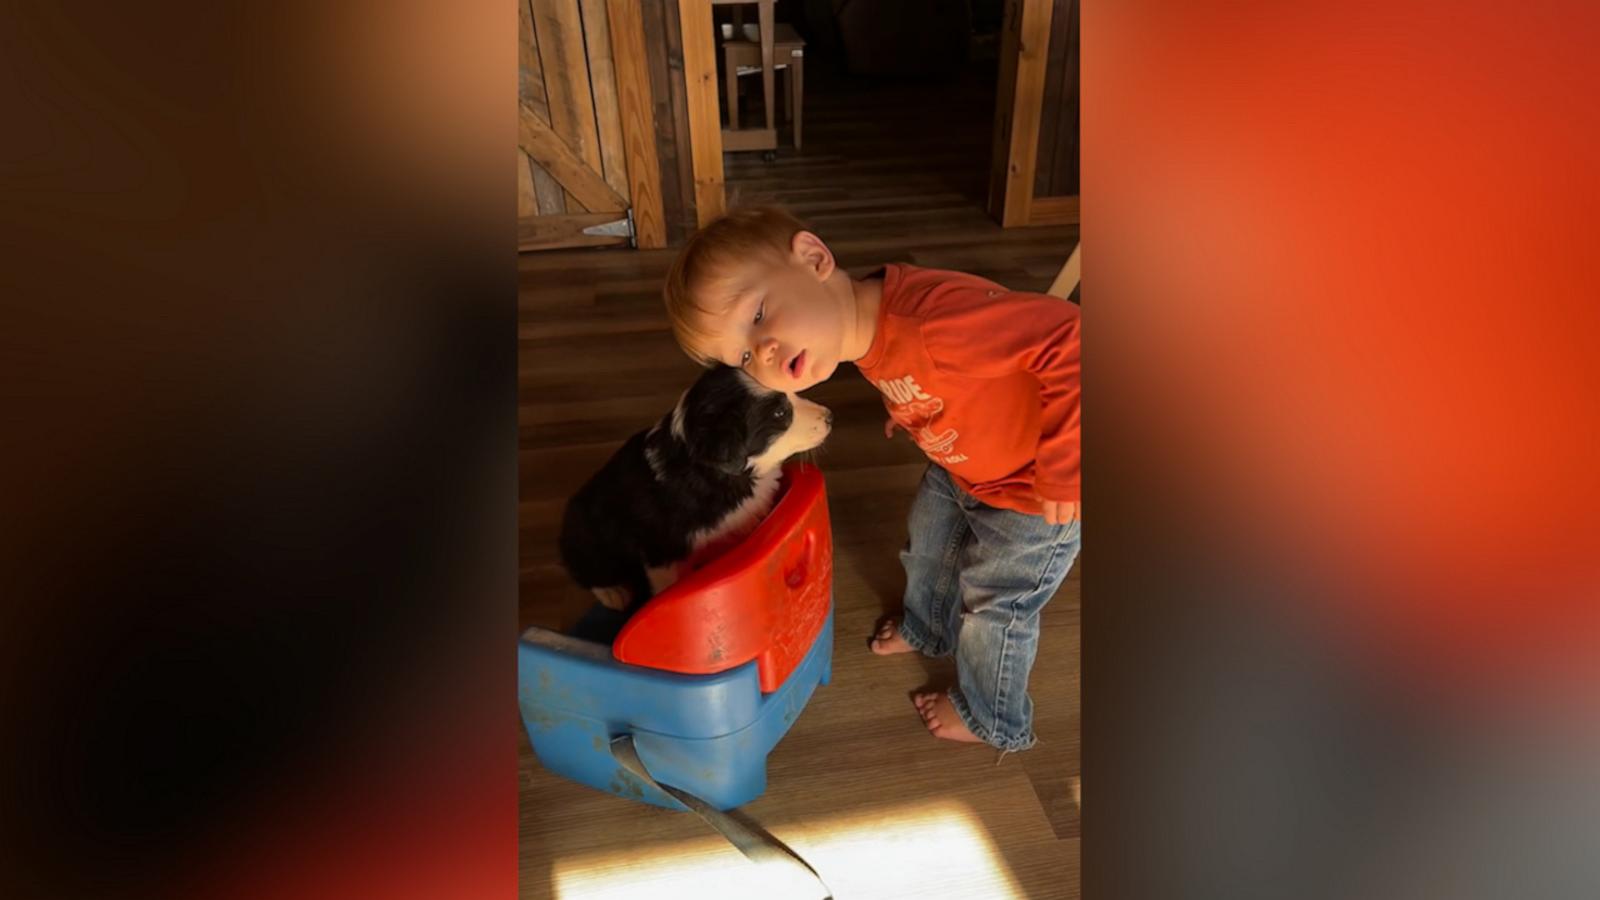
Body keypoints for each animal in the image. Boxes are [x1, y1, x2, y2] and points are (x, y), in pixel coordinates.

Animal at [560, 365, 832, 608]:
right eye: (779, 414)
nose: (829, 416)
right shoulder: (663, 556)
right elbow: (667, 590)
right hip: (587, 530)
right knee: (586, 567)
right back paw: (613, 592)